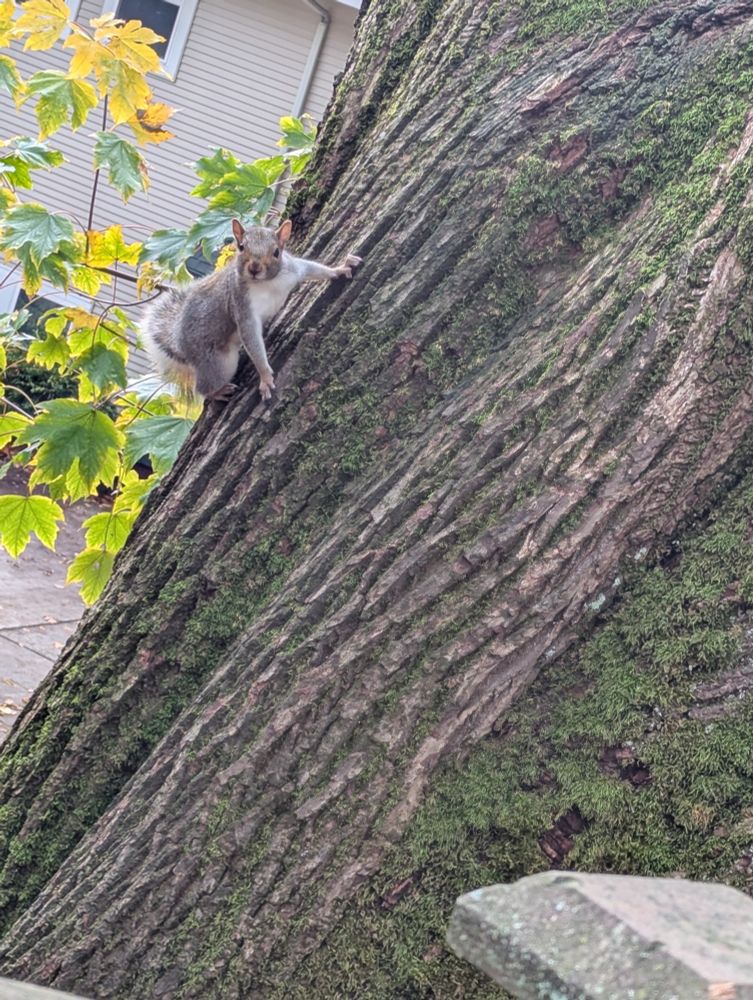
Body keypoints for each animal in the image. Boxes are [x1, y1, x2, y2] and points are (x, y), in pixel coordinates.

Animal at [142, 219, 362, 402]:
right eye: (241, 247)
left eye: (276, 252)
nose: (255, 268)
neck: (266, 284)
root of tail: (180, 343)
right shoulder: (242, 306)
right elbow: (252, 340)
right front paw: (264, 377)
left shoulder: (293, 270)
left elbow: (312, 268)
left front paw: (340, 268)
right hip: (220, 363)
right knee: (203, 389)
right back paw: (218, 392)